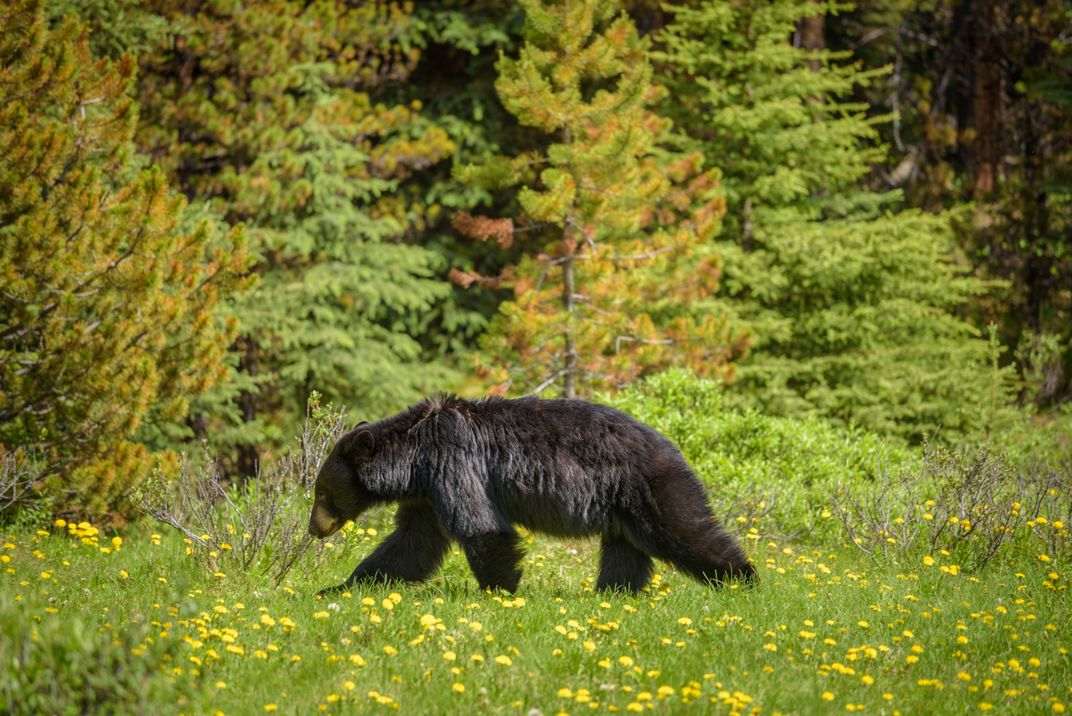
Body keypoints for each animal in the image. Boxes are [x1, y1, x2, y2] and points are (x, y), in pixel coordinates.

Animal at [308, 395, 756, 595]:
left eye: (322, 492)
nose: (314, 529)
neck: (414, 456)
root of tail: (671, 444)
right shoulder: (427, 493)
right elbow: (411, 543)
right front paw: (341, 587)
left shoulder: (453, 459)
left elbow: (481, 527)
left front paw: (501, 591)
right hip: (623, 506)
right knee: (624, 551)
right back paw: (613, 593)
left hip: (651, 486)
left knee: (685, 530)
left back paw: (743, 578)